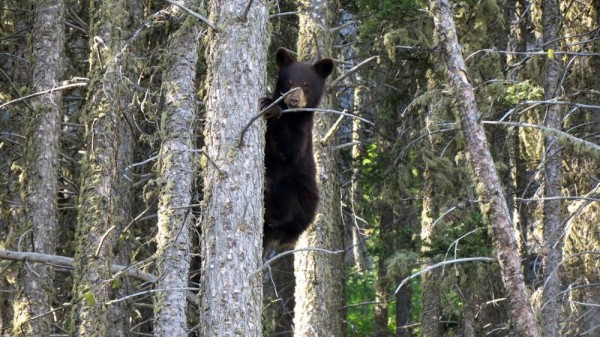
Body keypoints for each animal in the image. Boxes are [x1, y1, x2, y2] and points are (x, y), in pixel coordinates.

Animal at [260, 47, 336, 247]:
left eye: (306, 85)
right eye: (288, 83)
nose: (293, 100)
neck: (291, 115)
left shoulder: (303, 131)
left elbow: (288, 150)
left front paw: (272, 109)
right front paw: (268, 103)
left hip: (305, 195)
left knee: (288, 195)